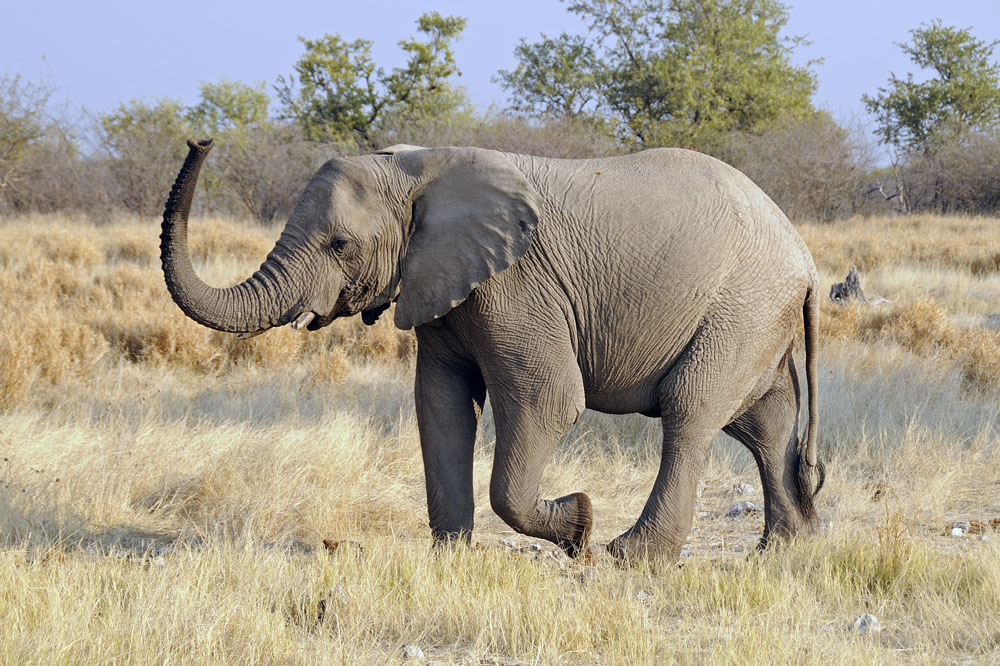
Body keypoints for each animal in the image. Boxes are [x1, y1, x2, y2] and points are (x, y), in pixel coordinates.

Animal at [160, 138, 823, 563]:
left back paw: (630, 556)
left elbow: (548, 399)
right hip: (757, 316)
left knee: (690, 410)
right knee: (764, 421)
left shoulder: (515, 284)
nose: (200, 139)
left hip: (742, 305)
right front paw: (450, 557)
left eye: (340, 244)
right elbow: (441, 405)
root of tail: (806, 260)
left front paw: (578, 526)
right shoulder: (439, 283)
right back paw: (783, 551)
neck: (417, 169)